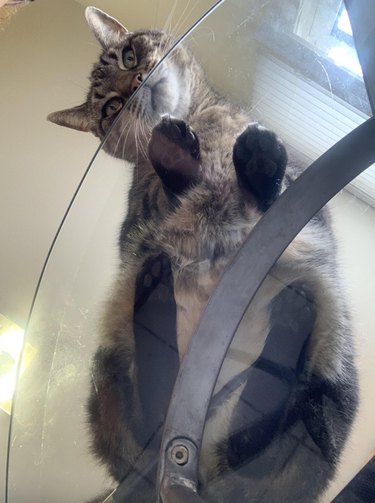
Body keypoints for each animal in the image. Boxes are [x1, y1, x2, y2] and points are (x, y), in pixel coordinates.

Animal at [48, 5, 360, 502]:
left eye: (129, 55)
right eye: (112, 107)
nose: (137, 83)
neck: (200, 120)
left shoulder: (300, 196)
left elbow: (273, 190)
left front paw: (256, 161)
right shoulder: (142, 218)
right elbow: (172, 185)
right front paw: (174, 150)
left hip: (331, 375)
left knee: (265, 432)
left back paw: (288, 322)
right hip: (113, 367)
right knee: (162, 416)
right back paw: (159, 292)